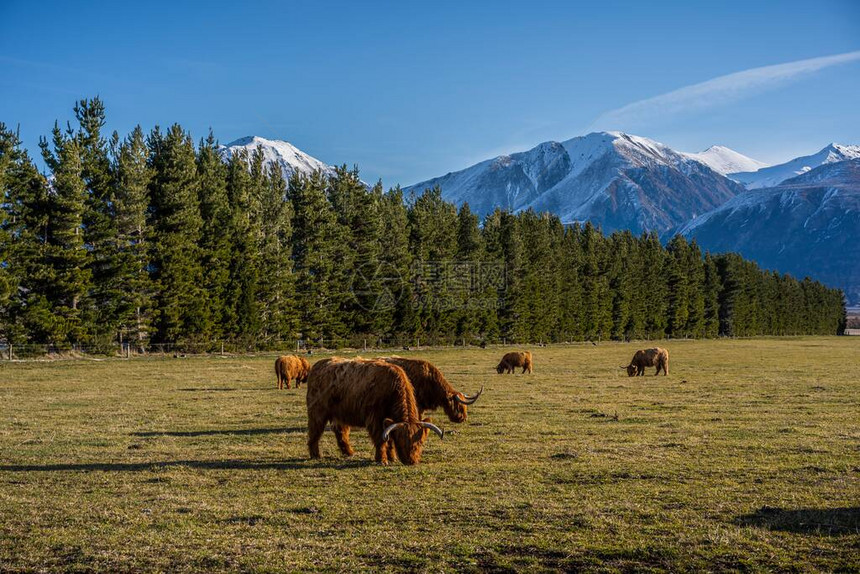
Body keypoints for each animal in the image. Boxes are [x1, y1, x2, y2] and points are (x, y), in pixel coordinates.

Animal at [306, 358, 444, 466]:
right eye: (402, 441)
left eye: (420, 442)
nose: (411, 461)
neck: (392, 388)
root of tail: (319, 364)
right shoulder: (375, 418)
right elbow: (381, 439)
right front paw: (382, 460)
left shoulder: (387, 421)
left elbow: (389, 439)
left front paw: (392, 457)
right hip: (317, 412)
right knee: (315, 432)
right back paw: (315, 455)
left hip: (340, 414)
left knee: (341, 432)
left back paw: (349, 452)